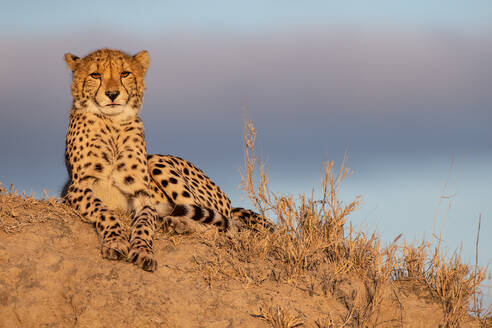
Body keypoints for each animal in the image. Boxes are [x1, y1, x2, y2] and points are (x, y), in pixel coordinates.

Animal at [62, 48, 272, 272]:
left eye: (125, 74)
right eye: (95, 75)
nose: (112, 94)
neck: (112, 124)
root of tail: (230, 203)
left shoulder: (143, 196)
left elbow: (144, 223)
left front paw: (143, 251)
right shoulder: (76, 189)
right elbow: (104, 211)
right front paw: (116, 241)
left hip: (157, 162)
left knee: (221, 226)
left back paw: (179, 223)